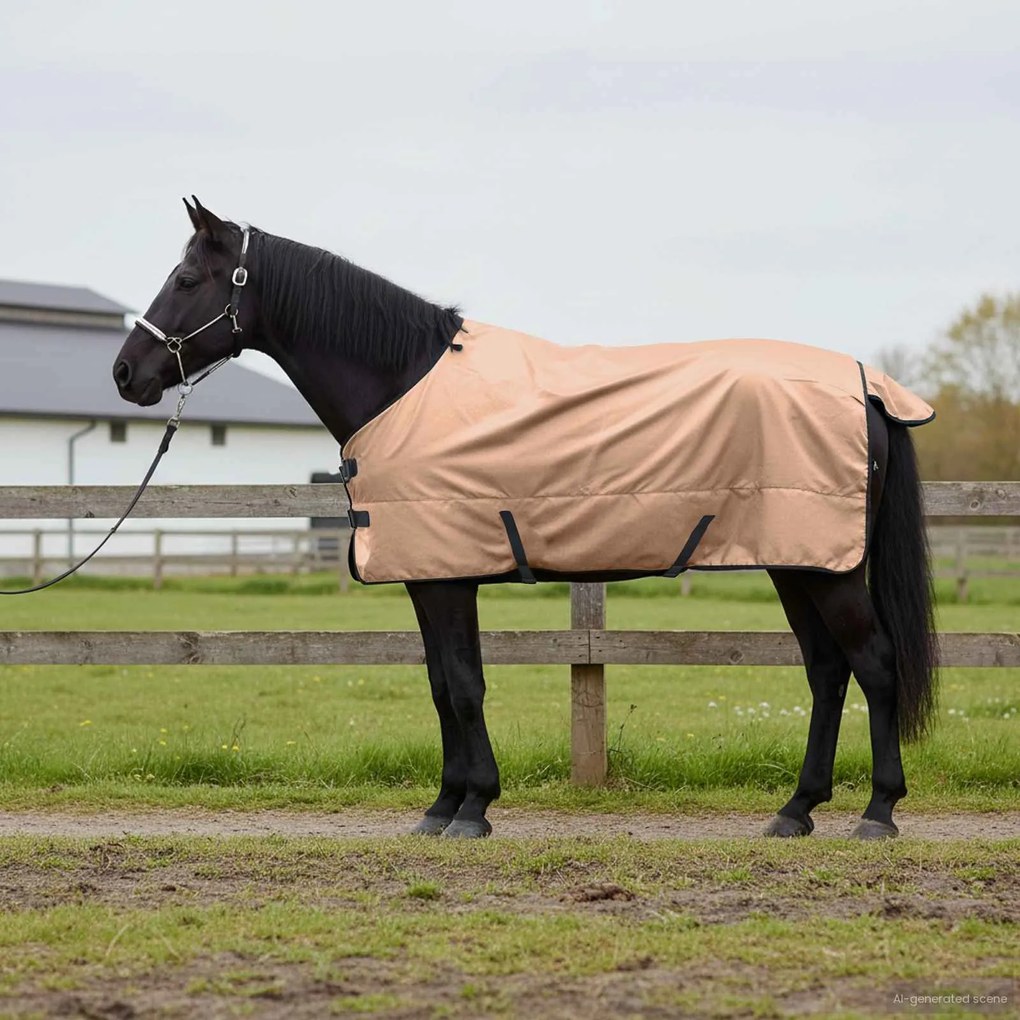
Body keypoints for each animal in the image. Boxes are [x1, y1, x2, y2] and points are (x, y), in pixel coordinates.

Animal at [113, 198, 939, 840]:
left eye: (186, 279)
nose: (126, 373)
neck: (402, 382)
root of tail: (867, 386)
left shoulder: (446, 578)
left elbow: (463, 686)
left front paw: (472, 808)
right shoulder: (431, 576)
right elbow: (443, 684)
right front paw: (444, 805)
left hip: (826, 569)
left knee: (874, 664)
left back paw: (878, 812)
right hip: (798, 562)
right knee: (827, 671)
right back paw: (796, 810)